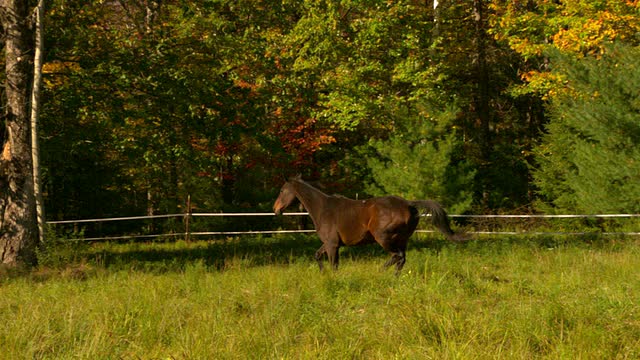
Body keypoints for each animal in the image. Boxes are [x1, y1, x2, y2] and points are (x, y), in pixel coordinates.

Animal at [272, 176, 464, 272]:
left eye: (281, 191)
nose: (275, 209)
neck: (322, 208)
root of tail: (409, 204)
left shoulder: (332, 245)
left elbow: (334, 265)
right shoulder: (329, 243)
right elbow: (318, 256)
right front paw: (322, 273)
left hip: (384, 238)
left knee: (397, 256)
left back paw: (380, 273)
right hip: (402, 240)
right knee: (402, 259)